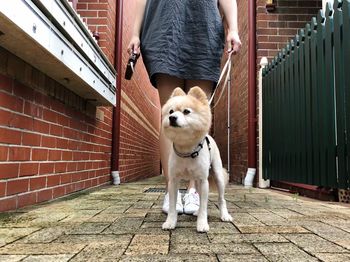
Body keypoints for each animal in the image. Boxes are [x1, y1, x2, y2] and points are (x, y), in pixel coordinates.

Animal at [161, 87, 232, 232]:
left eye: (186, 111)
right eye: (170, 111)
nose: (172, 118)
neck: (186, 149)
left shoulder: (204, 181)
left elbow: (204, 206)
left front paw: (202, 223)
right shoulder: (173, 181)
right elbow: (172, 206)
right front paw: (170, 222)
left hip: (217, 176)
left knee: (221, 199)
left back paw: (225, 215)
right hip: (199, 183)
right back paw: (196, 211)